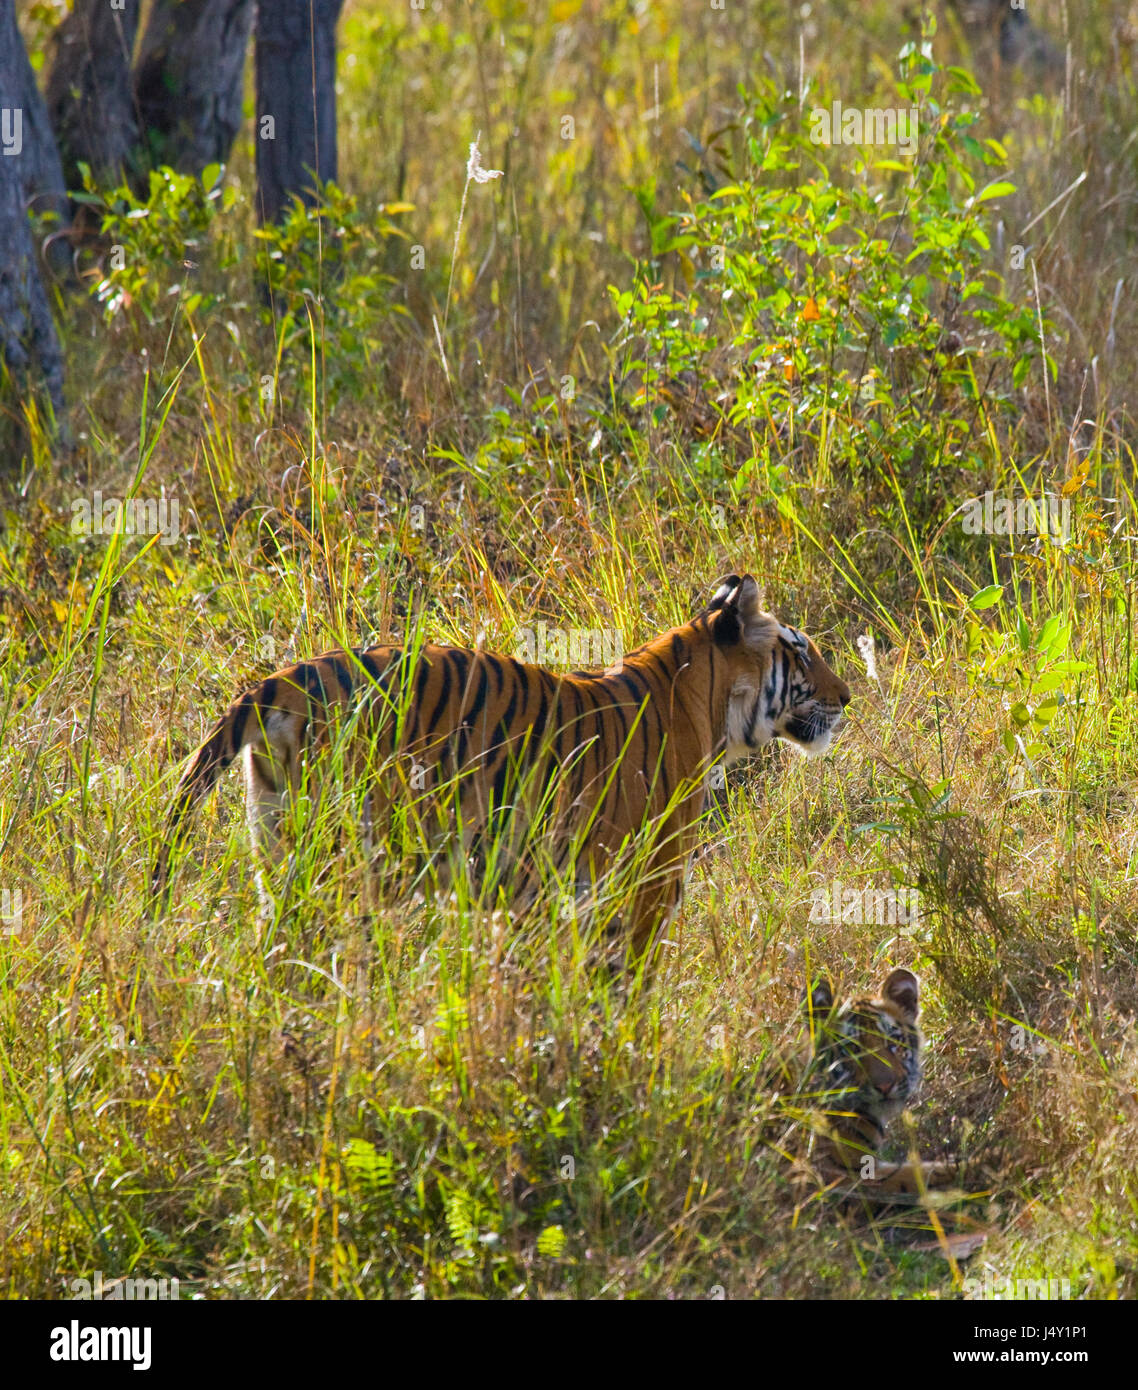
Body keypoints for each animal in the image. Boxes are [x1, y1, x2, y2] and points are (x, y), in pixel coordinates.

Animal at [146, 569, 850, 950]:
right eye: (802, 651)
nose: (848, 697)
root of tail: (279, 680)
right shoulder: (646, 886)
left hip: (281, 852)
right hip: (350, 860)